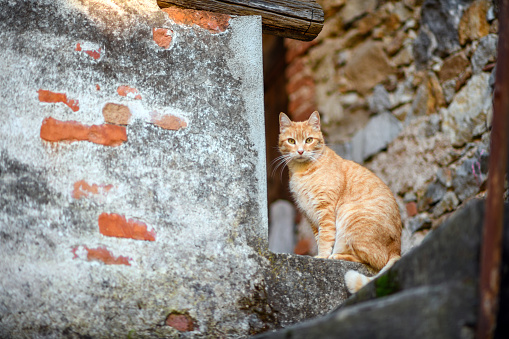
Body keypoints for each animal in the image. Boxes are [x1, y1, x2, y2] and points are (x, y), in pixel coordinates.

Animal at [278, 113, 400, 294]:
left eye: (309, 140)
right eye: (291, 141)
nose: (300, 151)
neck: (302, 172)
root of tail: (397, 249)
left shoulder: (325, 210)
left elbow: (325, 238)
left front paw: (322, 257)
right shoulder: (311, 217)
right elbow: (319, 237)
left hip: (349, 215)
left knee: (373, 260)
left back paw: (337, 256)